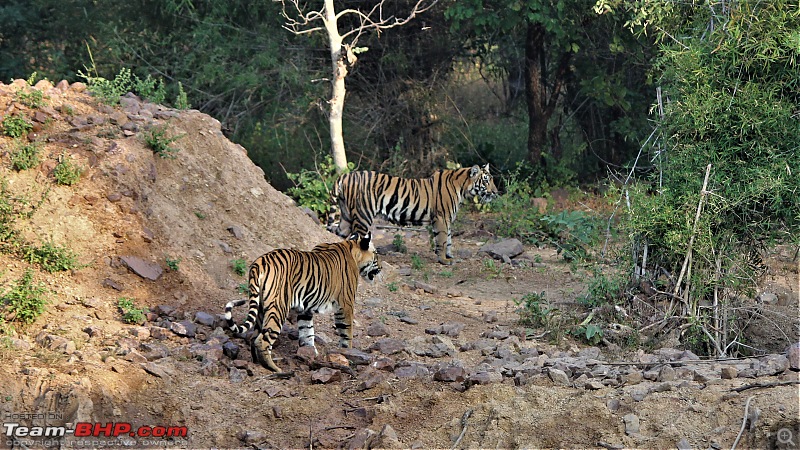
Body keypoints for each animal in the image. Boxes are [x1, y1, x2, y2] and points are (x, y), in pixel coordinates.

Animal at [222, 232, 378, 372]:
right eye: (376, 254)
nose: (381, 269)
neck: (351, 248)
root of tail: (259, 262)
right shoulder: (345, 304)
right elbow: (346, 331)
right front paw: (348, 352)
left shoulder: (305, 309)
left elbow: (307, 331)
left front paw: (309, 354)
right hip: (278, 308)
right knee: (262, 340)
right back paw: (274, 368)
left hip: (261, 308)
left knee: (254, 336)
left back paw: (256, 362)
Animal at [328, 164, 496, 264]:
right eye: (486, 180)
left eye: (491, 179)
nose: (495, 192)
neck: (463, 188)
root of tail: (344, 176)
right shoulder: (441, 218)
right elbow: (442, 240)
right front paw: (443, 259)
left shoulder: (447, 219)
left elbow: (448, 239)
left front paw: (449, 256)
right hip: (363, 216)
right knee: (356, 238)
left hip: (346, 217)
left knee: (341, 236)